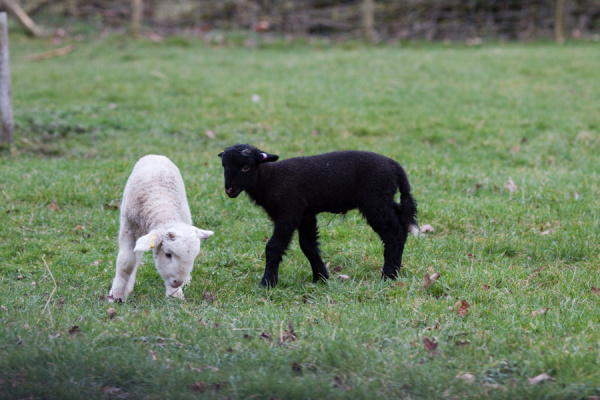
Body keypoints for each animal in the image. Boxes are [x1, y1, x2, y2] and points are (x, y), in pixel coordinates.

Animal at [109, 155, 214, 302]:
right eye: (168, 254)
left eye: (193, 257)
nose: (178, 282)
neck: (161, 206)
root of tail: (155, 155)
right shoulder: (128, 229)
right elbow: (126, 264)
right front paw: (117, 295)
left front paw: (175, 296)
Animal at [218, 144, 420, 288]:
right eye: (224, 166)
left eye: (246, 167)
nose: (229, 189)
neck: (268, 179)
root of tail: (395, 166)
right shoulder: (305, 214)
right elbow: (308, 246)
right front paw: (321, 278)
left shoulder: (288, 213)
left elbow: (274, 247)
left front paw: (267, 283)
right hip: (384, 199)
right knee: (402, 224)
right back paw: (395, 272)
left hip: (375, 201)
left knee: (393, 234)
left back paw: (387, 275)